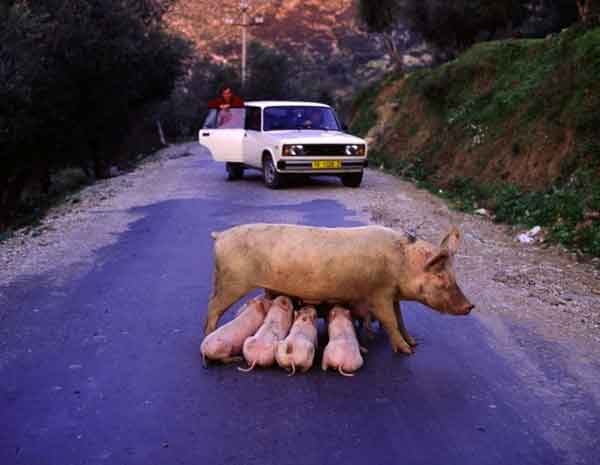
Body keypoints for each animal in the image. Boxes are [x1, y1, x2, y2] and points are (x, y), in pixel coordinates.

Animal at [206, 223, 474, 354]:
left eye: (454, 275)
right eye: (441, 276)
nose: (470, 306)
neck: (402, 263)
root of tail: (219, 236)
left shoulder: (393, 294)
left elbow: (400, 319)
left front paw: (413, 343)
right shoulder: (378, 293)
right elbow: (389, 320)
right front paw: (407, 351)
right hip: (231, 281)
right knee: (212, 306)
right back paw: (208, 333)